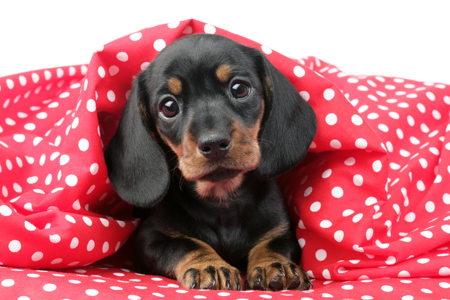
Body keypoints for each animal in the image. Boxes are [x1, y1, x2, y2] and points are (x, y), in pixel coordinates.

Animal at [105, 33, 316, 290]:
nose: (214, 144)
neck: (223, 201)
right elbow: (186, 244)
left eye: (239, 89)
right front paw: (209, 265)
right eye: (168, 106)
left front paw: (274, 264)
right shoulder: (149, 239)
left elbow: (272, 244)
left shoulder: (282, 230)